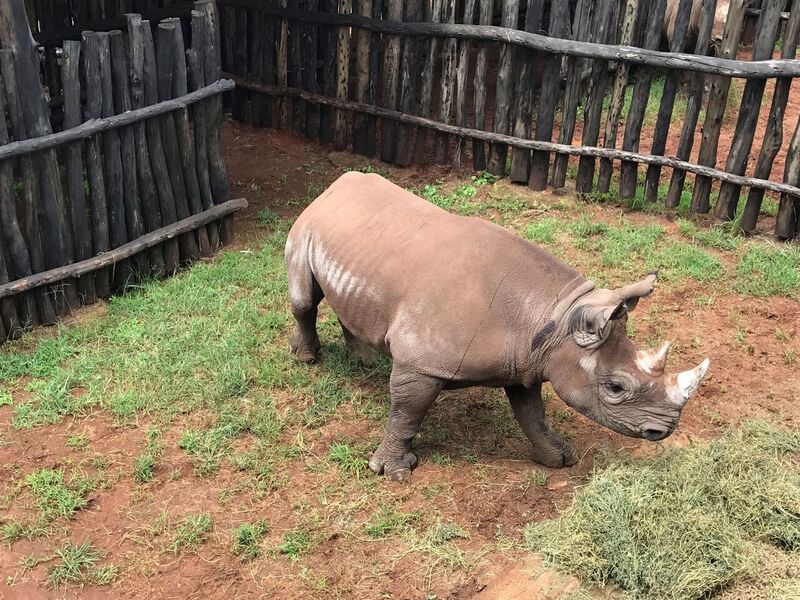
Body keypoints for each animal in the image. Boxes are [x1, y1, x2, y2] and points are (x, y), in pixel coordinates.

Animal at [285, 172, 710, 481]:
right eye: (615, 387)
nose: (664, 430)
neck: (554, 316)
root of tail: (336, 183)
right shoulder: (421, 364)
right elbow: (406, 414)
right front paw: (393, 472)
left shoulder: (527, 361)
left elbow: (532, 413)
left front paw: (559, 458)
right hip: (308, 224)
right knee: (304, 299)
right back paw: (307, 360)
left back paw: (362, 361)